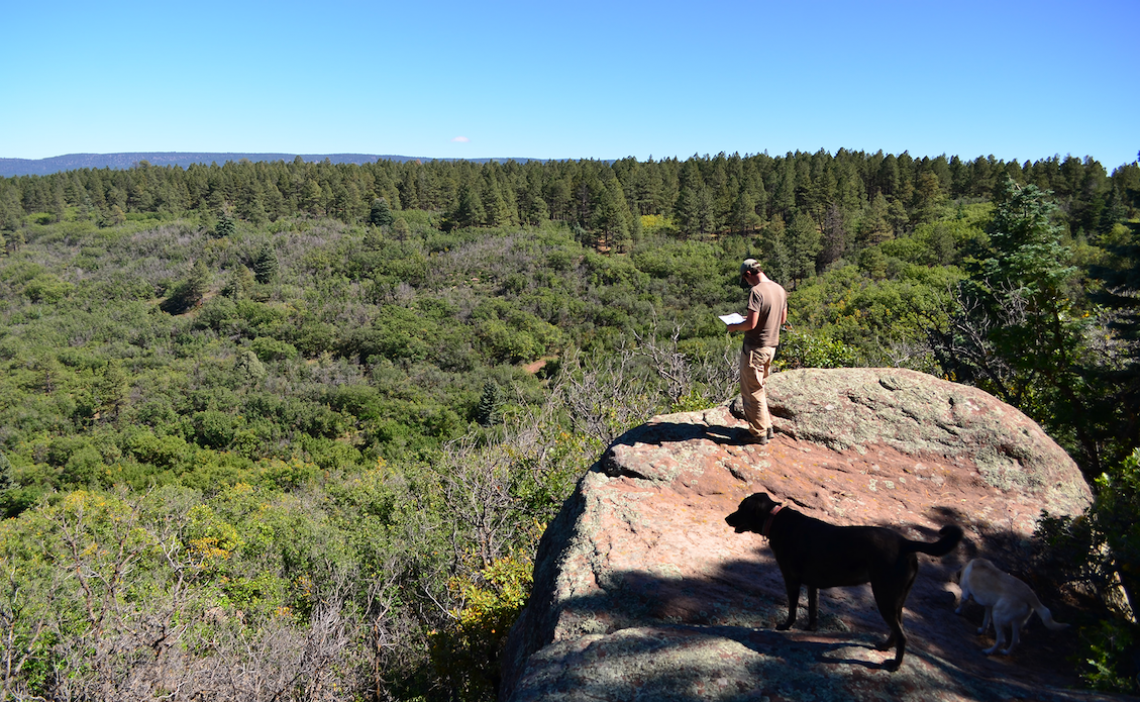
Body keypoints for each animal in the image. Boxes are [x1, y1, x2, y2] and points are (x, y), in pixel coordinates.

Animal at [725, 490, 957, 670]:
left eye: (740, 507)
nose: (726, 518)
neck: (776, 520)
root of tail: (906, 543)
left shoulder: (792, 580)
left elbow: (792, 609)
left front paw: (785, 626)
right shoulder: (812, 584)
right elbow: (813, 609)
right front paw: (810, 629)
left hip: (884, 596)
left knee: (902, 635)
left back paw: (894, 665)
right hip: (896, 598)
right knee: (897, 628)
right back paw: (884, 647)